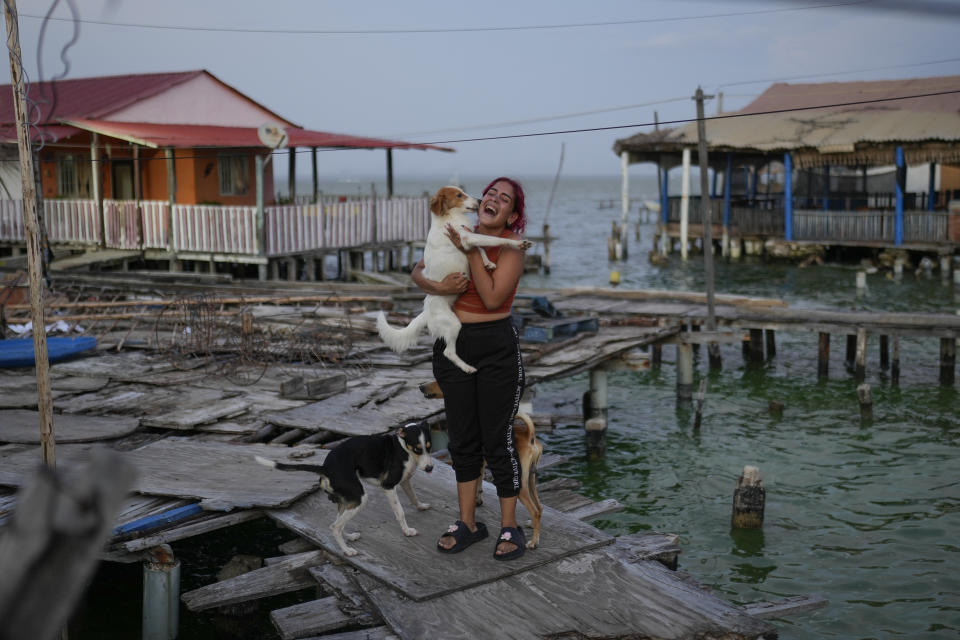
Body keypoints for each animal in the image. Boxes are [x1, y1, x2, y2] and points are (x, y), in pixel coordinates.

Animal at [256, 420, 434, 556]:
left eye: (429, 447)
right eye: (417, 449)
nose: (430, 468)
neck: (403, 447)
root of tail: (325, 468)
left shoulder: (405, 481)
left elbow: (413, 496)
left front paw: (421, 506)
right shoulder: (388, 486)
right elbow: (400, 512)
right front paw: (407, 531)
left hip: (347, 500)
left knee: (338, 522)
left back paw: (349, 537)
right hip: (359, 497)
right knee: (335, 527)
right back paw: (347, 551)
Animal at [376, 185, 532, 372]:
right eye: (459, 195)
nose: (480, 200)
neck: (449, 217)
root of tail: (427, 310)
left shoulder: (467, 238)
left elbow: (481, 249)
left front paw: (487, 263)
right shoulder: (466, 237)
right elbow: (494, 239)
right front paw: (518, 244)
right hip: (453, 325)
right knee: (448, 352)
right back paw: (467, 367)